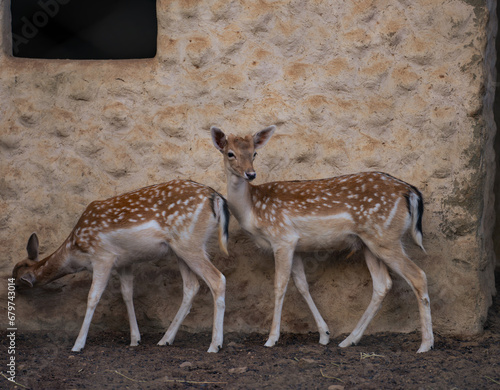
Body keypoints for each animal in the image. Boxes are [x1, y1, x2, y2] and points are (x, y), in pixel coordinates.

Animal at [12, 180, 229, 354]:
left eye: (16, 279)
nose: (14, 290)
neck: (76, 249)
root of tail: (216, 198)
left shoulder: (102, 256)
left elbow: (92, 297)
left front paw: (78, 345)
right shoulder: (125, 262)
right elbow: (126, 294)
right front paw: (135, 340)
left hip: (188, 243)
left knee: (217, 279)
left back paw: (214, 345)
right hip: (181, 249)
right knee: (192, 286)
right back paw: (165, 340)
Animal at [211, 125, 434, 354]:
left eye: (254, 153)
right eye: (230, 153)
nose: (251, 174)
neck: (252, 210)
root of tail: (411, 192)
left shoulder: (282, 238)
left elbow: (279, 285)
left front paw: (271, 339)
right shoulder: (295, 245)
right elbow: (302, 285)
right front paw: (324, 334)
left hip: (385, 237)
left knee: (418, 275)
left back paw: (425, 344)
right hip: (370, 243)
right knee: (383, 284)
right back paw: (349, 340)